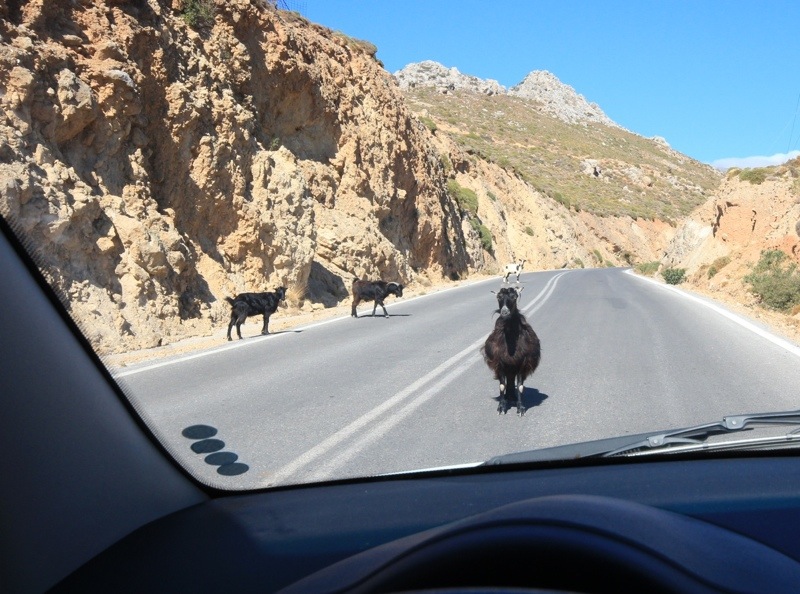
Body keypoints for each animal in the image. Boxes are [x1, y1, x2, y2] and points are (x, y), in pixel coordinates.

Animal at [481, 286, 541, 415]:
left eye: (514, 297)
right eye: (499, 297)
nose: (504, 312)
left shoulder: (522, 362)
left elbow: (520, 386)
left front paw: (520, 408)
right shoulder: (499, 362)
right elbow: (502, 385)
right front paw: (501, 407)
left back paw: (512, 397)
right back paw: (509, 397)